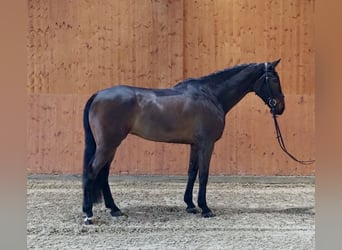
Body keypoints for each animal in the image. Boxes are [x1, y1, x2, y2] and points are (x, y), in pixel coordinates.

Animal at [81, 59, 284, 225]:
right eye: (274, 79)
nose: (281, 107)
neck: (210, 95)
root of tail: (98, 95)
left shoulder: (195, 144)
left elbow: (192, 172)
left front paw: (190, 205)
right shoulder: (207, 144)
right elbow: (203, 175)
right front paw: (205, 208)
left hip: (110, 146)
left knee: (103, 174)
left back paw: (115, 209)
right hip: (108, 145)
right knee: (92, 172)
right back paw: (88, 214)